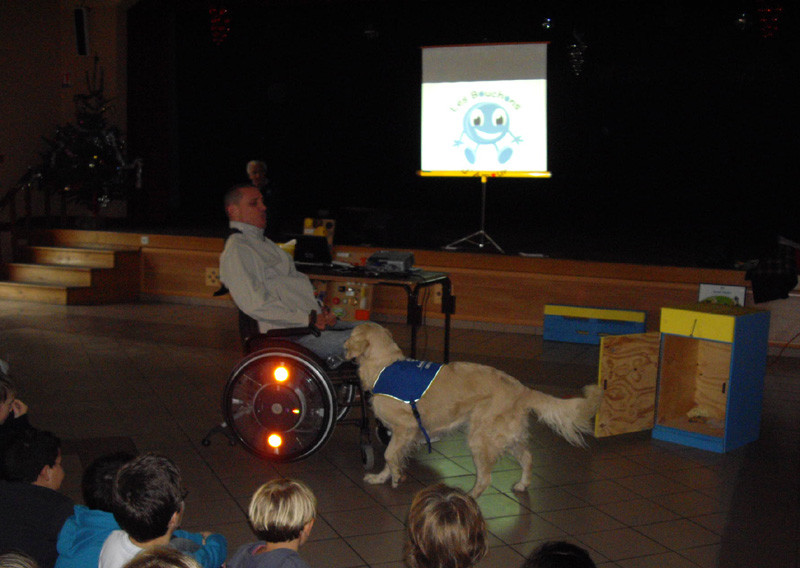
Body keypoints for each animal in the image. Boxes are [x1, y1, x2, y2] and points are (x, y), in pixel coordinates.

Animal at [342, 322, 600, 500]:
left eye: (351, 334)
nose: (343, 345)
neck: (384, 365)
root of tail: (521, 388)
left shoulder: (405, 428)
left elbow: (388, 455)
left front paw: (395, 476)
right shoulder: (399, 434)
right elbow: (391, 457)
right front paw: (382, 477)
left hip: (481, 437)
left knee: (486, 478)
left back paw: (470, 497)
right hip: (505, 436)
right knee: (527, 457)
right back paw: (522, 484)